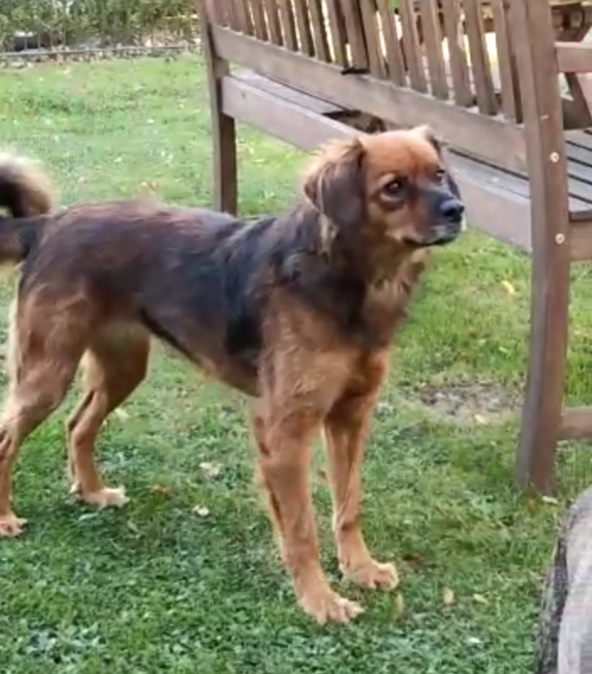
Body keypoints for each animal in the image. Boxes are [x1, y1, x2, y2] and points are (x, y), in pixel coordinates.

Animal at [0, 129, 464, 624]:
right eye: (394, 187)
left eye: (438, 173)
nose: (457, 210)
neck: (350, 279)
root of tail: (48, 225)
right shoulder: (284, 430)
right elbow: (301, 528)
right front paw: (319, 599)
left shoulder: (350, 417)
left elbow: (348, 504)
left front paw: (360, 569)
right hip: (47, 373)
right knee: (9, 437)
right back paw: (7, 516)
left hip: (123, 367)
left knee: (78, 424)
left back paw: (91, 492)